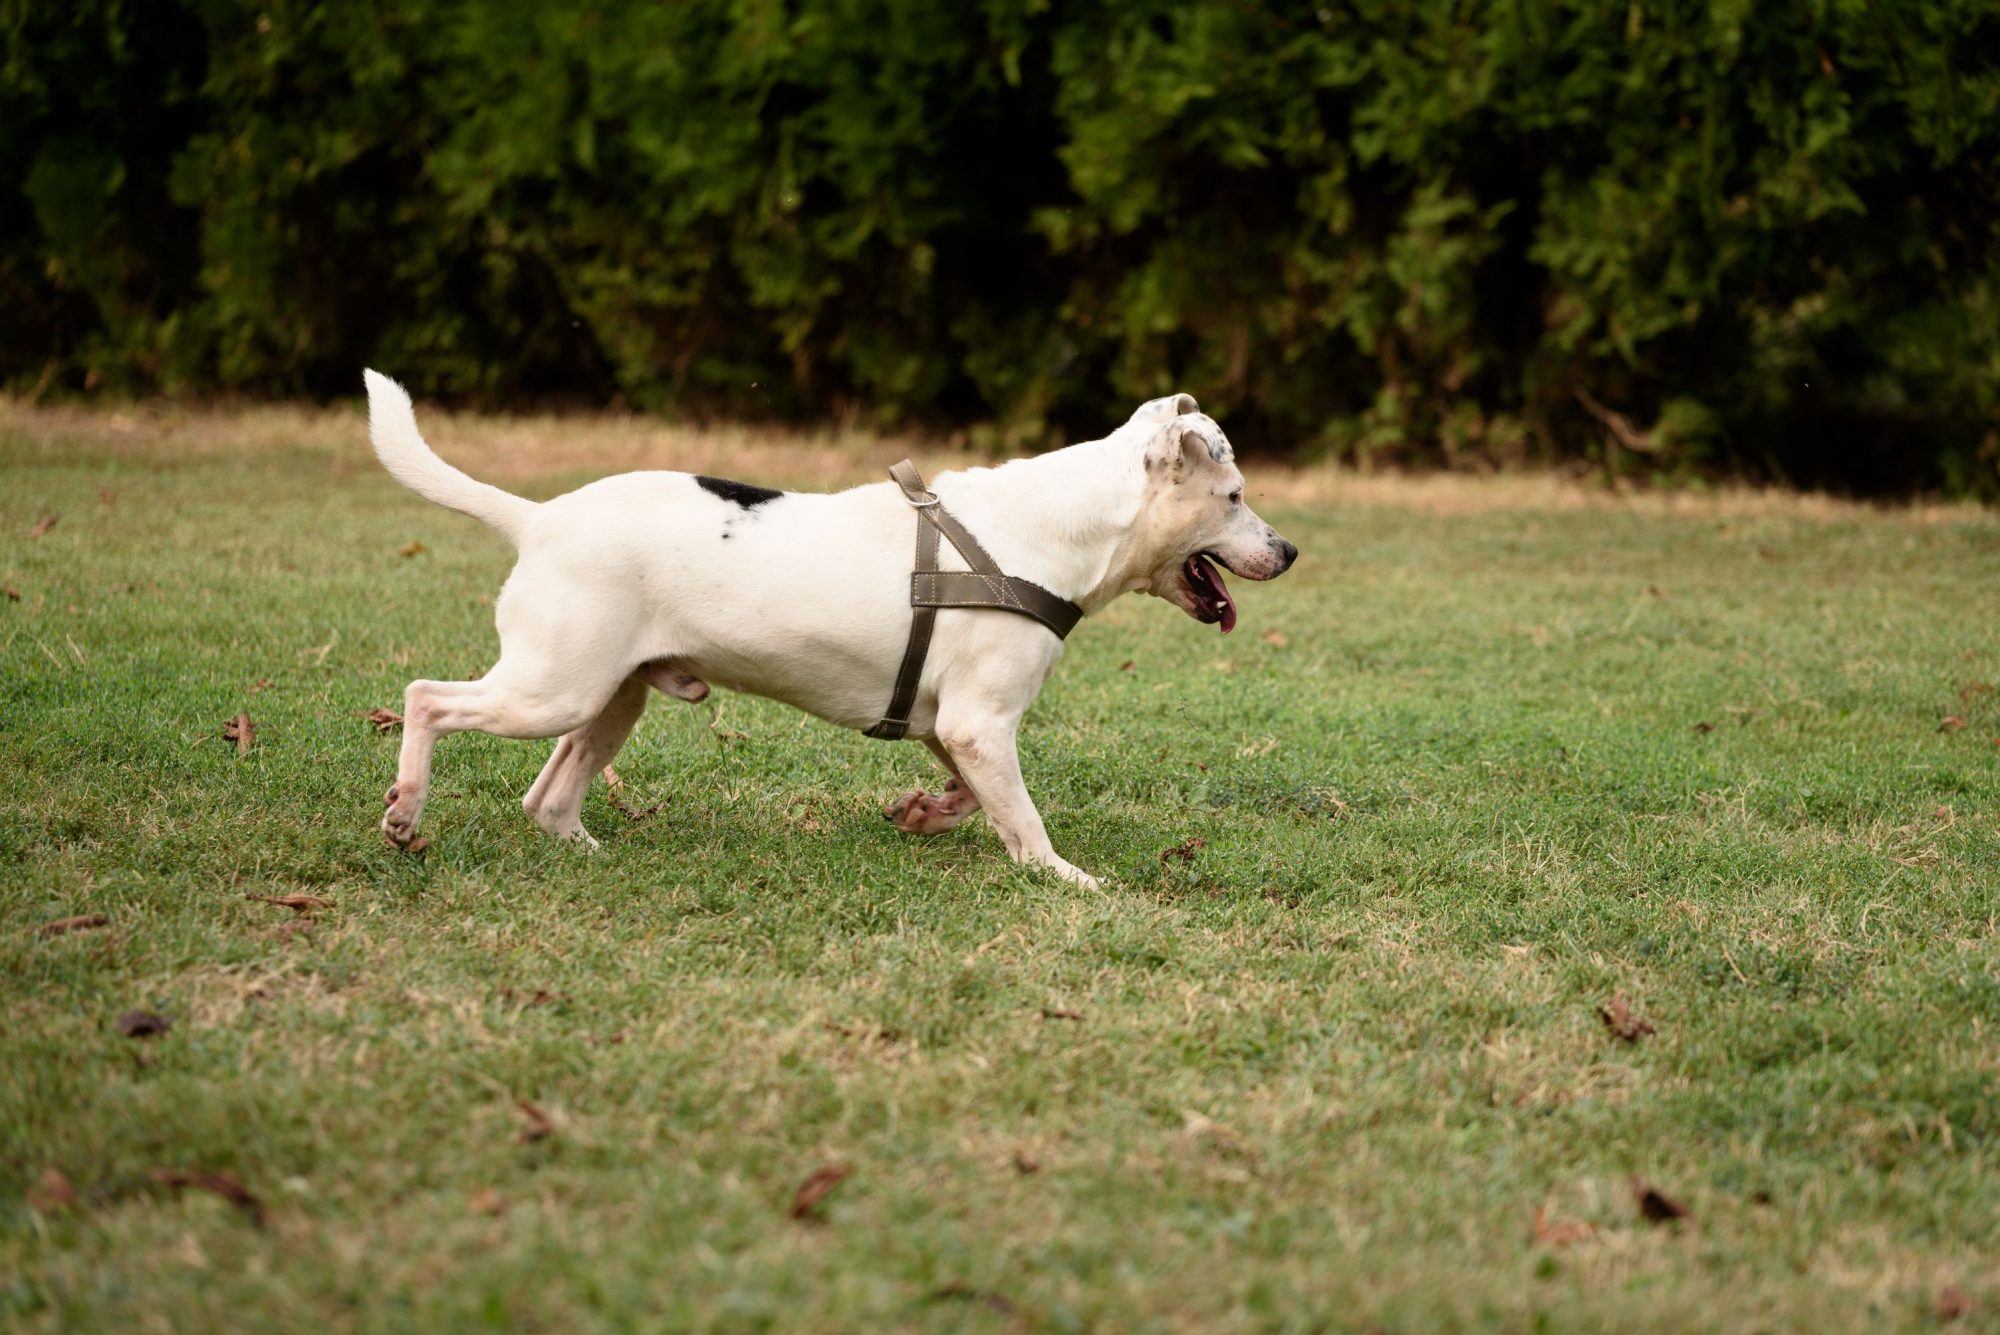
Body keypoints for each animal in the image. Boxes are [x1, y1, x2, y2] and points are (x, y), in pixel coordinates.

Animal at [364, 369, 1296, 887]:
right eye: (1235, 495)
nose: (1288, 550)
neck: (1062, 528)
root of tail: (538, 517)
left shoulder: (955, 726)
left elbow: (973, 795)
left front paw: (924, 813)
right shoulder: (981, 723)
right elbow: (1025, 822)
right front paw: (1068, 878)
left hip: (610, 696)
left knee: (548, 797)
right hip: (552, 688)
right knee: (427, 696)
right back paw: (405, 809)